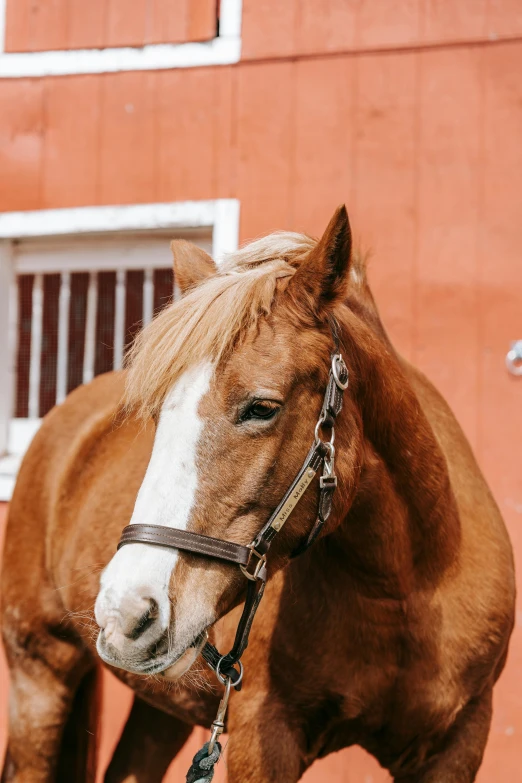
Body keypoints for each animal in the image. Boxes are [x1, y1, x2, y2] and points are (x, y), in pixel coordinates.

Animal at [0, 208, 512, 783]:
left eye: (262, 407)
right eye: (155, 416)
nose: (125, 612)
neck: (403, 592)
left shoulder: (457, 744)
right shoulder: (262, 739)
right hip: (40, 671)